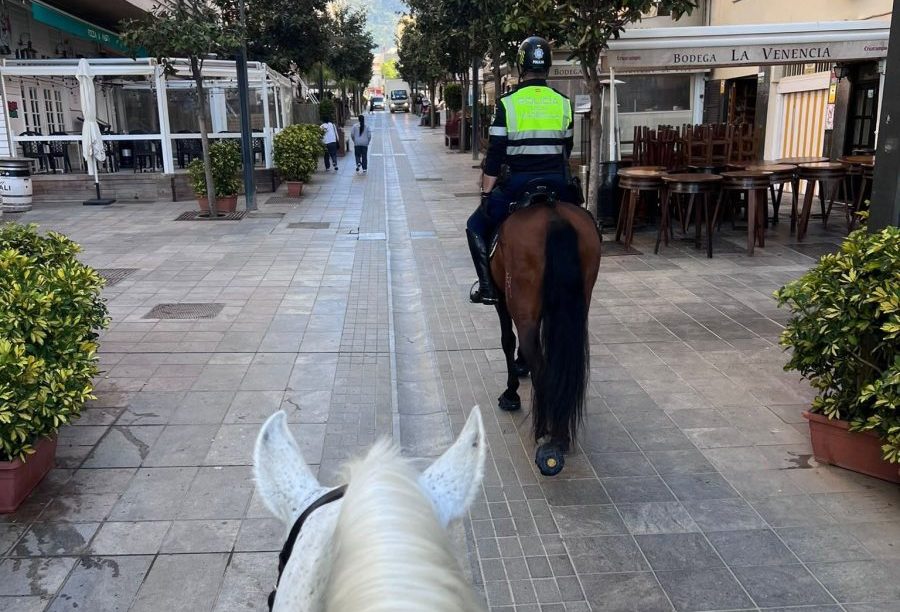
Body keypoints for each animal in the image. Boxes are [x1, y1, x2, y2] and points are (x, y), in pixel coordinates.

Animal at [489, 185, 601, 476]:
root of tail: (554, 216)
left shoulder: (501, 299)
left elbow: (507, 340)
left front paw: (511, 393)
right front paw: (520, 366)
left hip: (520, 300)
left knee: (538, 359)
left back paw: (546, 431)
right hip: (578, 303)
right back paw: (560, 433)